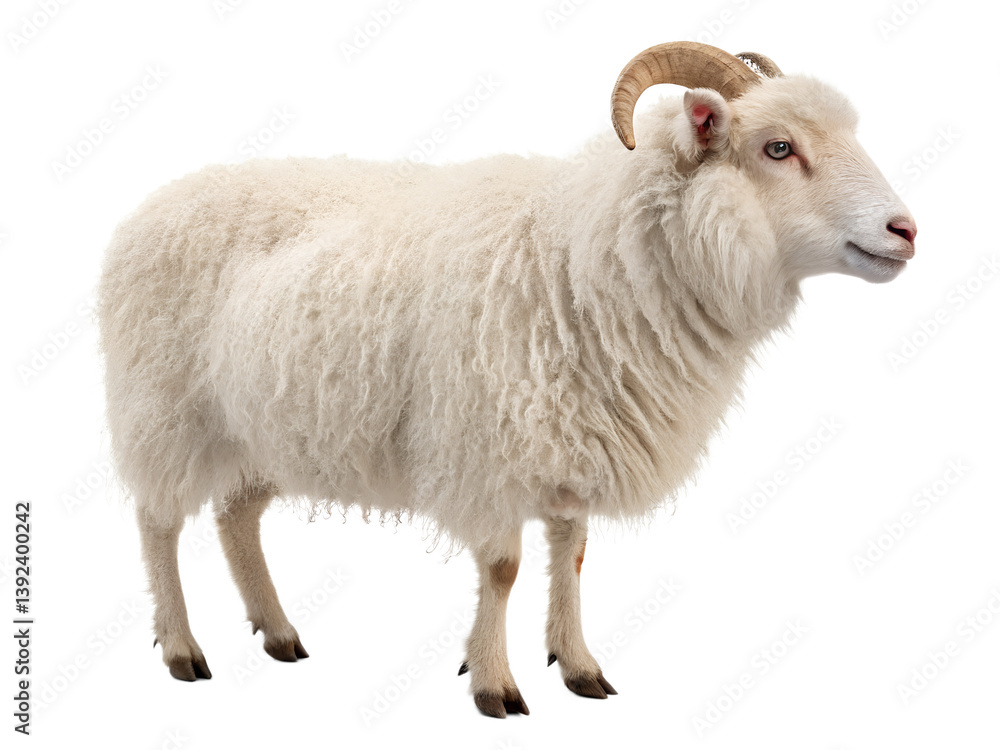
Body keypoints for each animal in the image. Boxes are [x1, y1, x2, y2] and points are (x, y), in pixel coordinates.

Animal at [96, 41, 916, 717]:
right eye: (778, 147)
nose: (906, 230)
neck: (586, 260)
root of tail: (148, 208)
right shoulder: (486, 449)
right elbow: (502, 568)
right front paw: (494, 684)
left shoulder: (576, 439)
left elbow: (573, 557)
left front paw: (579, 667)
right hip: (166, 409)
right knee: (158, 521)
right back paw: (181, 648)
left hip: (262, 427)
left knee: (236, 519)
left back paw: (276, 632)